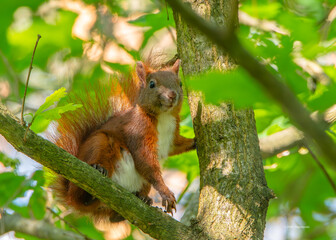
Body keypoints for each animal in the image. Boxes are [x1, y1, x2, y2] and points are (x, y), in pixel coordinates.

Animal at [51, 58, 196, 223]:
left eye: (180, 83)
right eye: (152, 84)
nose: (172, 95)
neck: (163, 117)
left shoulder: (172, 137)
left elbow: (177, 146)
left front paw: (195, 142)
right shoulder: (137, 130)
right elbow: (145, 160)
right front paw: (166, 193)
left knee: (113, 217)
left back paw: (141, 200)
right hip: (98, 144)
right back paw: (97, 171)